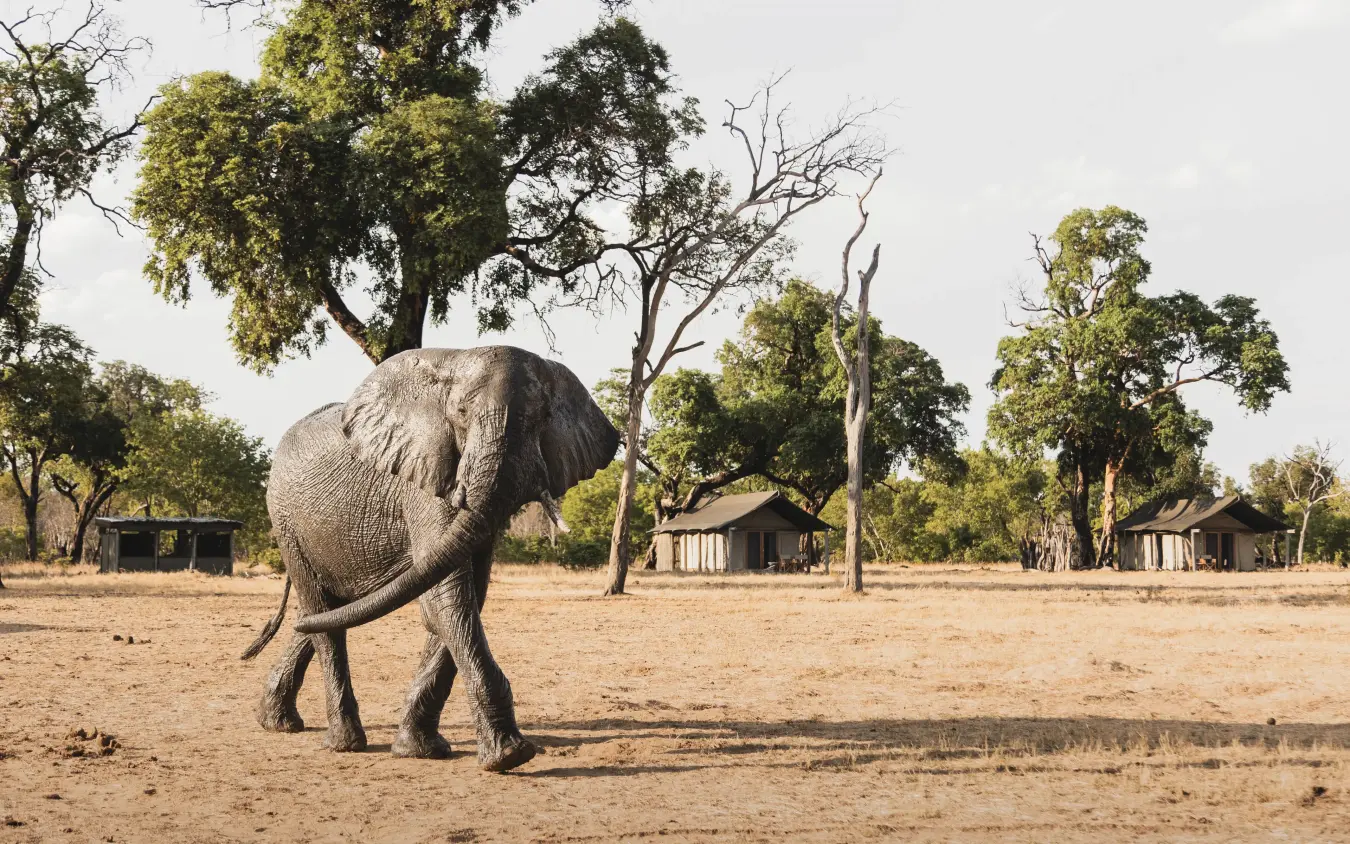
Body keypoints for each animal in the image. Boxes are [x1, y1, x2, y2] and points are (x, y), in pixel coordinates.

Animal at [239, 346, 619, 772]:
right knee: (323, 613)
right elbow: (448, 599)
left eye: (542, 420)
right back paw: (342, 743)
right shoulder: (423, 482)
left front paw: (418, 749)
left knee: (321, 614)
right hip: (286, 521)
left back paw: (276, 721)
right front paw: (510, 756)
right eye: (462, 414)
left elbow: (461, 599)